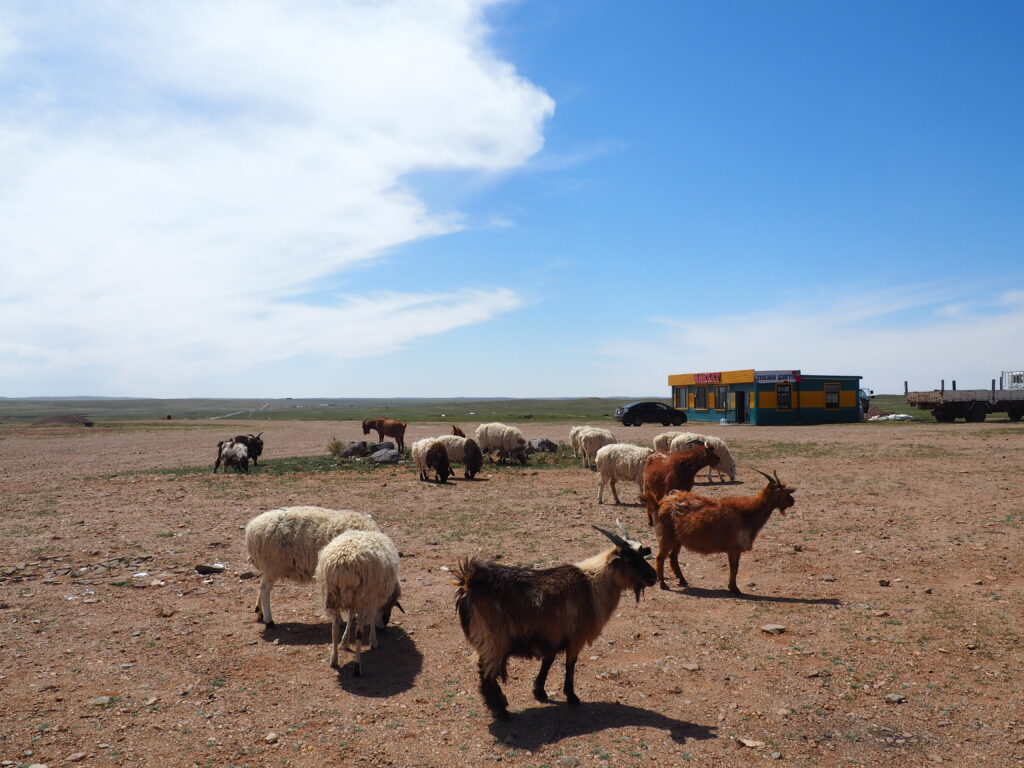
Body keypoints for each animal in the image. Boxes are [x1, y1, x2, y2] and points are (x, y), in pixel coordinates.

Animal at [244, 506, 380, 628]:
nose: (381, 627)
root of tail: (251, 528)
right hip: (273, 564)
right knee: (265, 589)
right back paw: (269, 620)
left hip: (270, 567)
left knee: (262, 585)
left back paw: (259, 611)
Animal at [316, 529, 403, 676]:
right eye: (390, 605)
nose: (383, 626)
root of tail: (343, 562)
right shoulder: (373, 600)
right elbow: (371, 620)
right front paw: (373, 641)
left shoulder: (356, 602)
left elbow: (350, 617)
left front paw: (344, 642)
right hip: (363, 597)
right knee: (358, 633)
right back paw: (357, 667)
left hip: (331, 595)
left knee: (334, 628)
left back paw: (334, 659)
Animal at [454, 523, 656, 720]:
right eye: (629, 558)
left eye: (641, 555)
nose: (653, 576)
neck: (592, 585)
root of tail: (468, 582)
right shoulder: (575, 637)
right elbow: (570, 664)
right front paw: (572, 696)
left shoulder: (552, 634)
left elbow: (548, 661)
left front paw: (539, 691)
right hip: (494, 640)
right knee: (486, 673)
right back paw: (502, 711)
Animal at [653, 469, 796, 594]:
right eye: (783, 492)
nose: (792, 501)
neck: (746, 514)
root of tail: (663, 501)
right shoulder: (733, 548)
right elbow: (734, 568)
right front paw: (735, 589)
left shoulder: (736, 549)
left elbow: (736, 567)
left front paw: (732, 587)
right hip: (666, 536)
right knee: (660, 557)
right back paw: (663, 584)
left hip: (677, 539)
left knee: (673, 557)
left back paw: (683, 580)